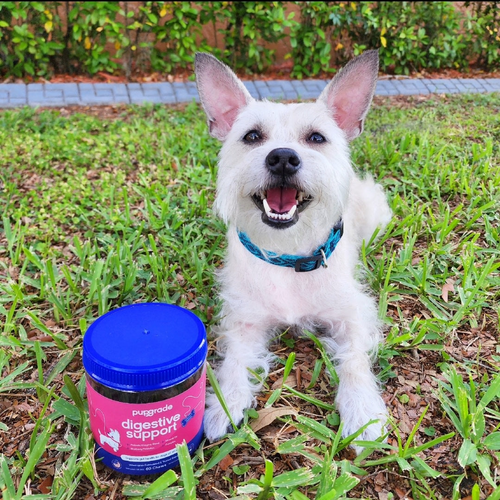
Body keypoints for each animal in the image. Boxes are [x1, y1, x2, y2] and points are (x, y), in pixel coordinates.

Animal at [193, 50, 392, 450]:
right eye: (252, 136)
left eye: (316, 137)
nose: (283, 158)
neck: (288, 254)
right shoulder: (245, 321)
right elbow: (235, 361)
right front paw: (225, 405)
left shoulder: (352, 315)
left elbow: (354, 361)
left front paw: (363, 411)